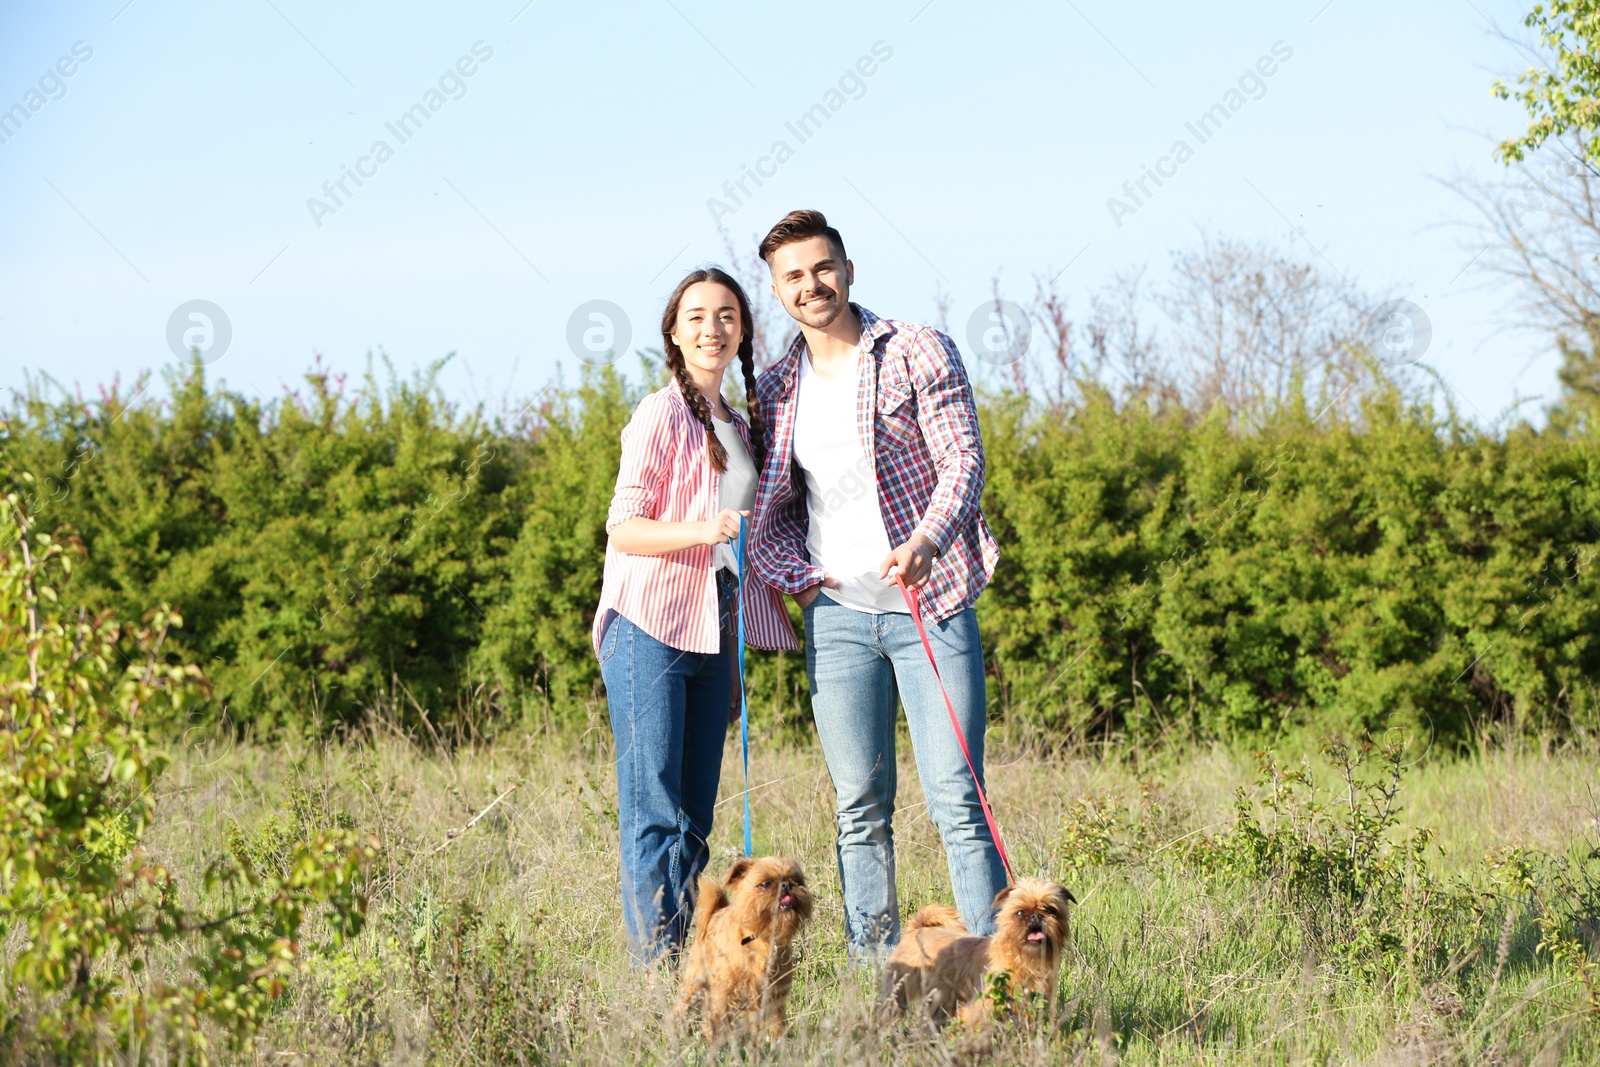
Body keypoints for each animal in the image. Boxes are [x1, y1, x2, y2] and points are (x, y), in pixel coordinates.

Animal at [668, 857, 812, 1043]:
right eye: (765, 884)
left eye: (796, 881)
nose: (787, 885)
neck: (761, 938)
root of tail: (714, 914)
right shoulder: (724, 995)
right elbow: (721, 1022)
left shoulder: (772, 998)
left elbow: (775, 1027)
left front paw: (775, 1046)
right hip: (693, 985)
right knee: (685, 1010)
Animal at [876, 876, 1075, 1023]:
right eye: (1020, 913)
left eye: (1051, 910)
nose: (1036, 916)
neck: (1023, 960)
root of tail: (916, 929)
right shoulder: (980, 1007)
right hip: (899, 989)